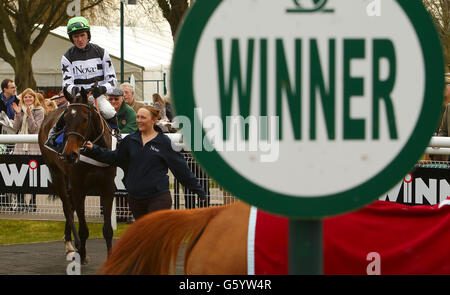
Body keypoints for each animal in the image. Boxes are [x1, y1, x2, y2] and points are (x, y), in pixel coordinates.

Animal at [38, 89, 116, 264]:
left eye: (85, 119)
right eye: (66, 120)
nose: (69, 154)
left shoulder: (107, 187)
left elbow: (108, 229)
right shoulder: (79, 187)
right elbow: (83, 229)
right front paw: (82, 253)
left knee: (70, 206)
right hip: (57, 174)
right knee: (67, 207)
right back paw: (71, 244)